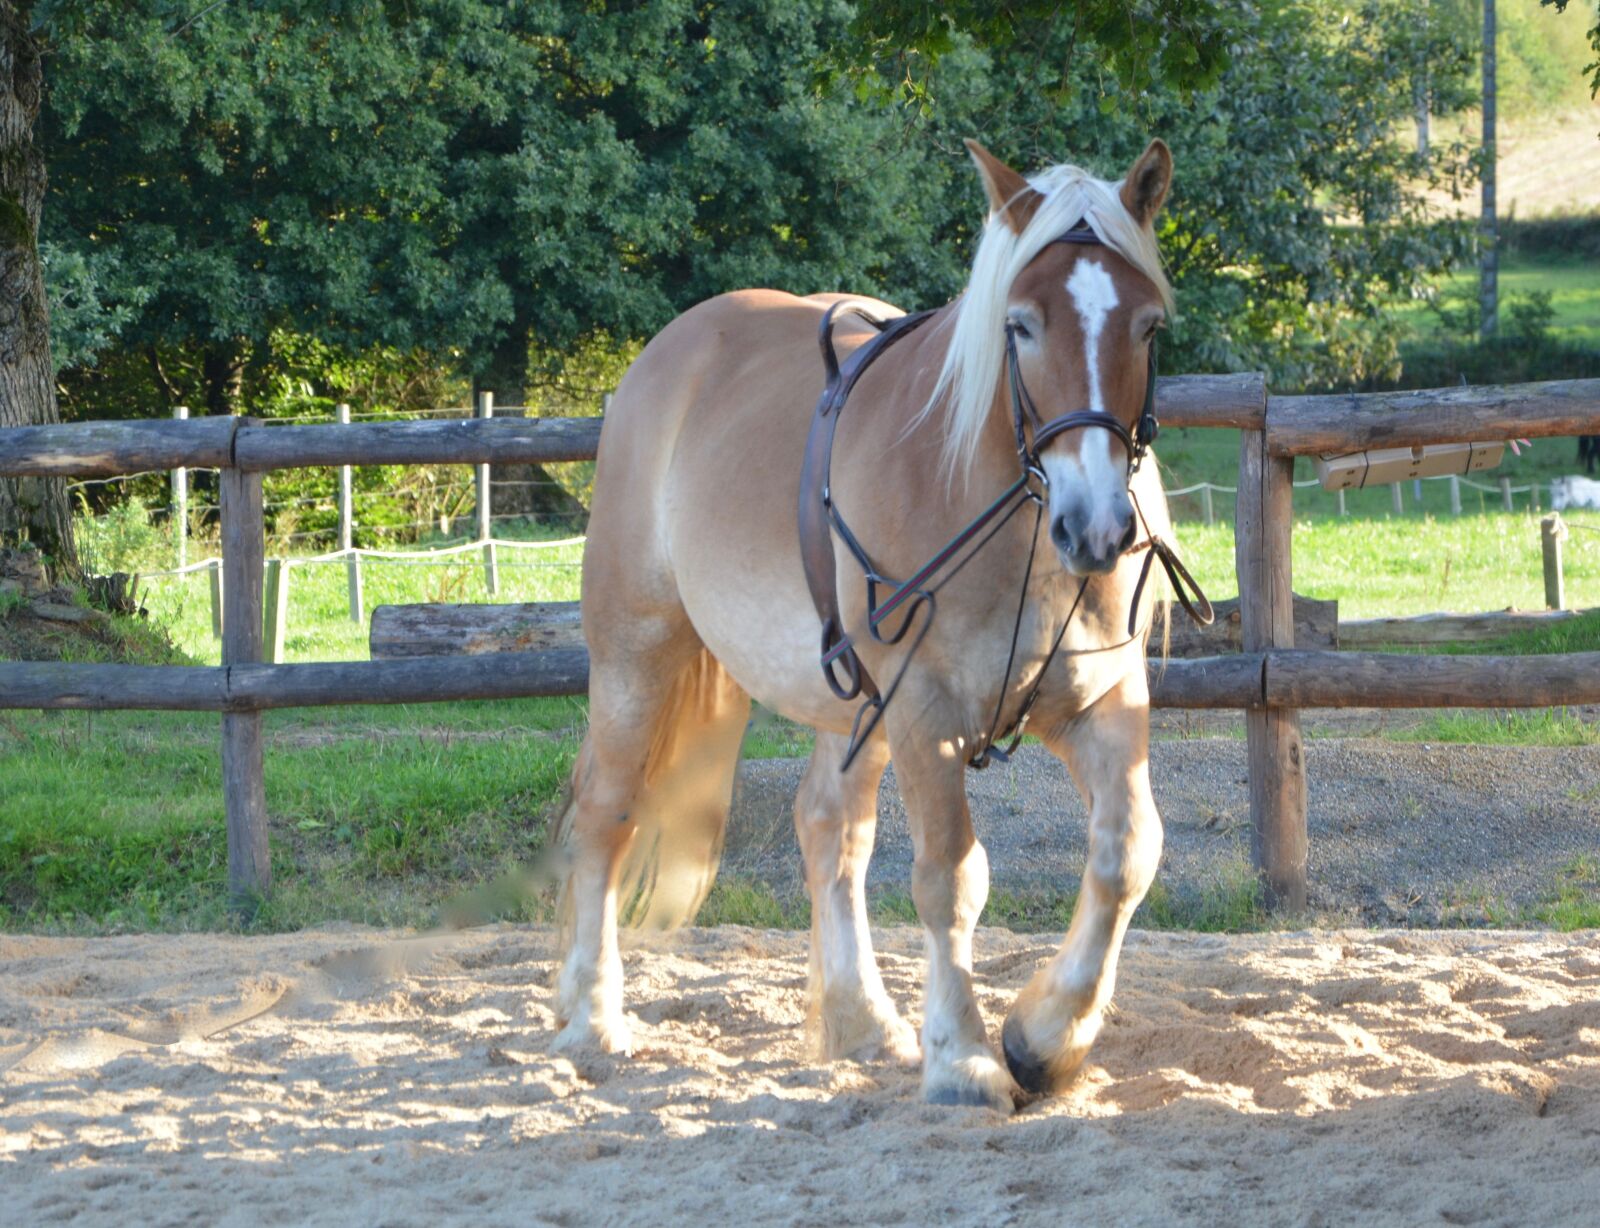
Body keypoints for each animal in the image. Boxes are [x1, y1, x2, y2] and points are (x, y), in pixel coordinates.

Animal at [553, 138, 1187, 1113]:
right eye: (1020, 325)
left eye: (1148, 327)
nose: (1097, 528)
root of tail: (668, 354)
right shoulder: (924, 711)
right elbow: (950, 879)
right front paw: (964, 1059)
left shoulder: (1100, 703)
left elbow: (1127, 855)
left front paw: (1046, 1040)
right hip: (637, 655)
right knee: (605, 817)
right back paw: (592, 1019)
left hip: (848, 701)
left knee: (829, 831)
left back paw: (862, 1022)